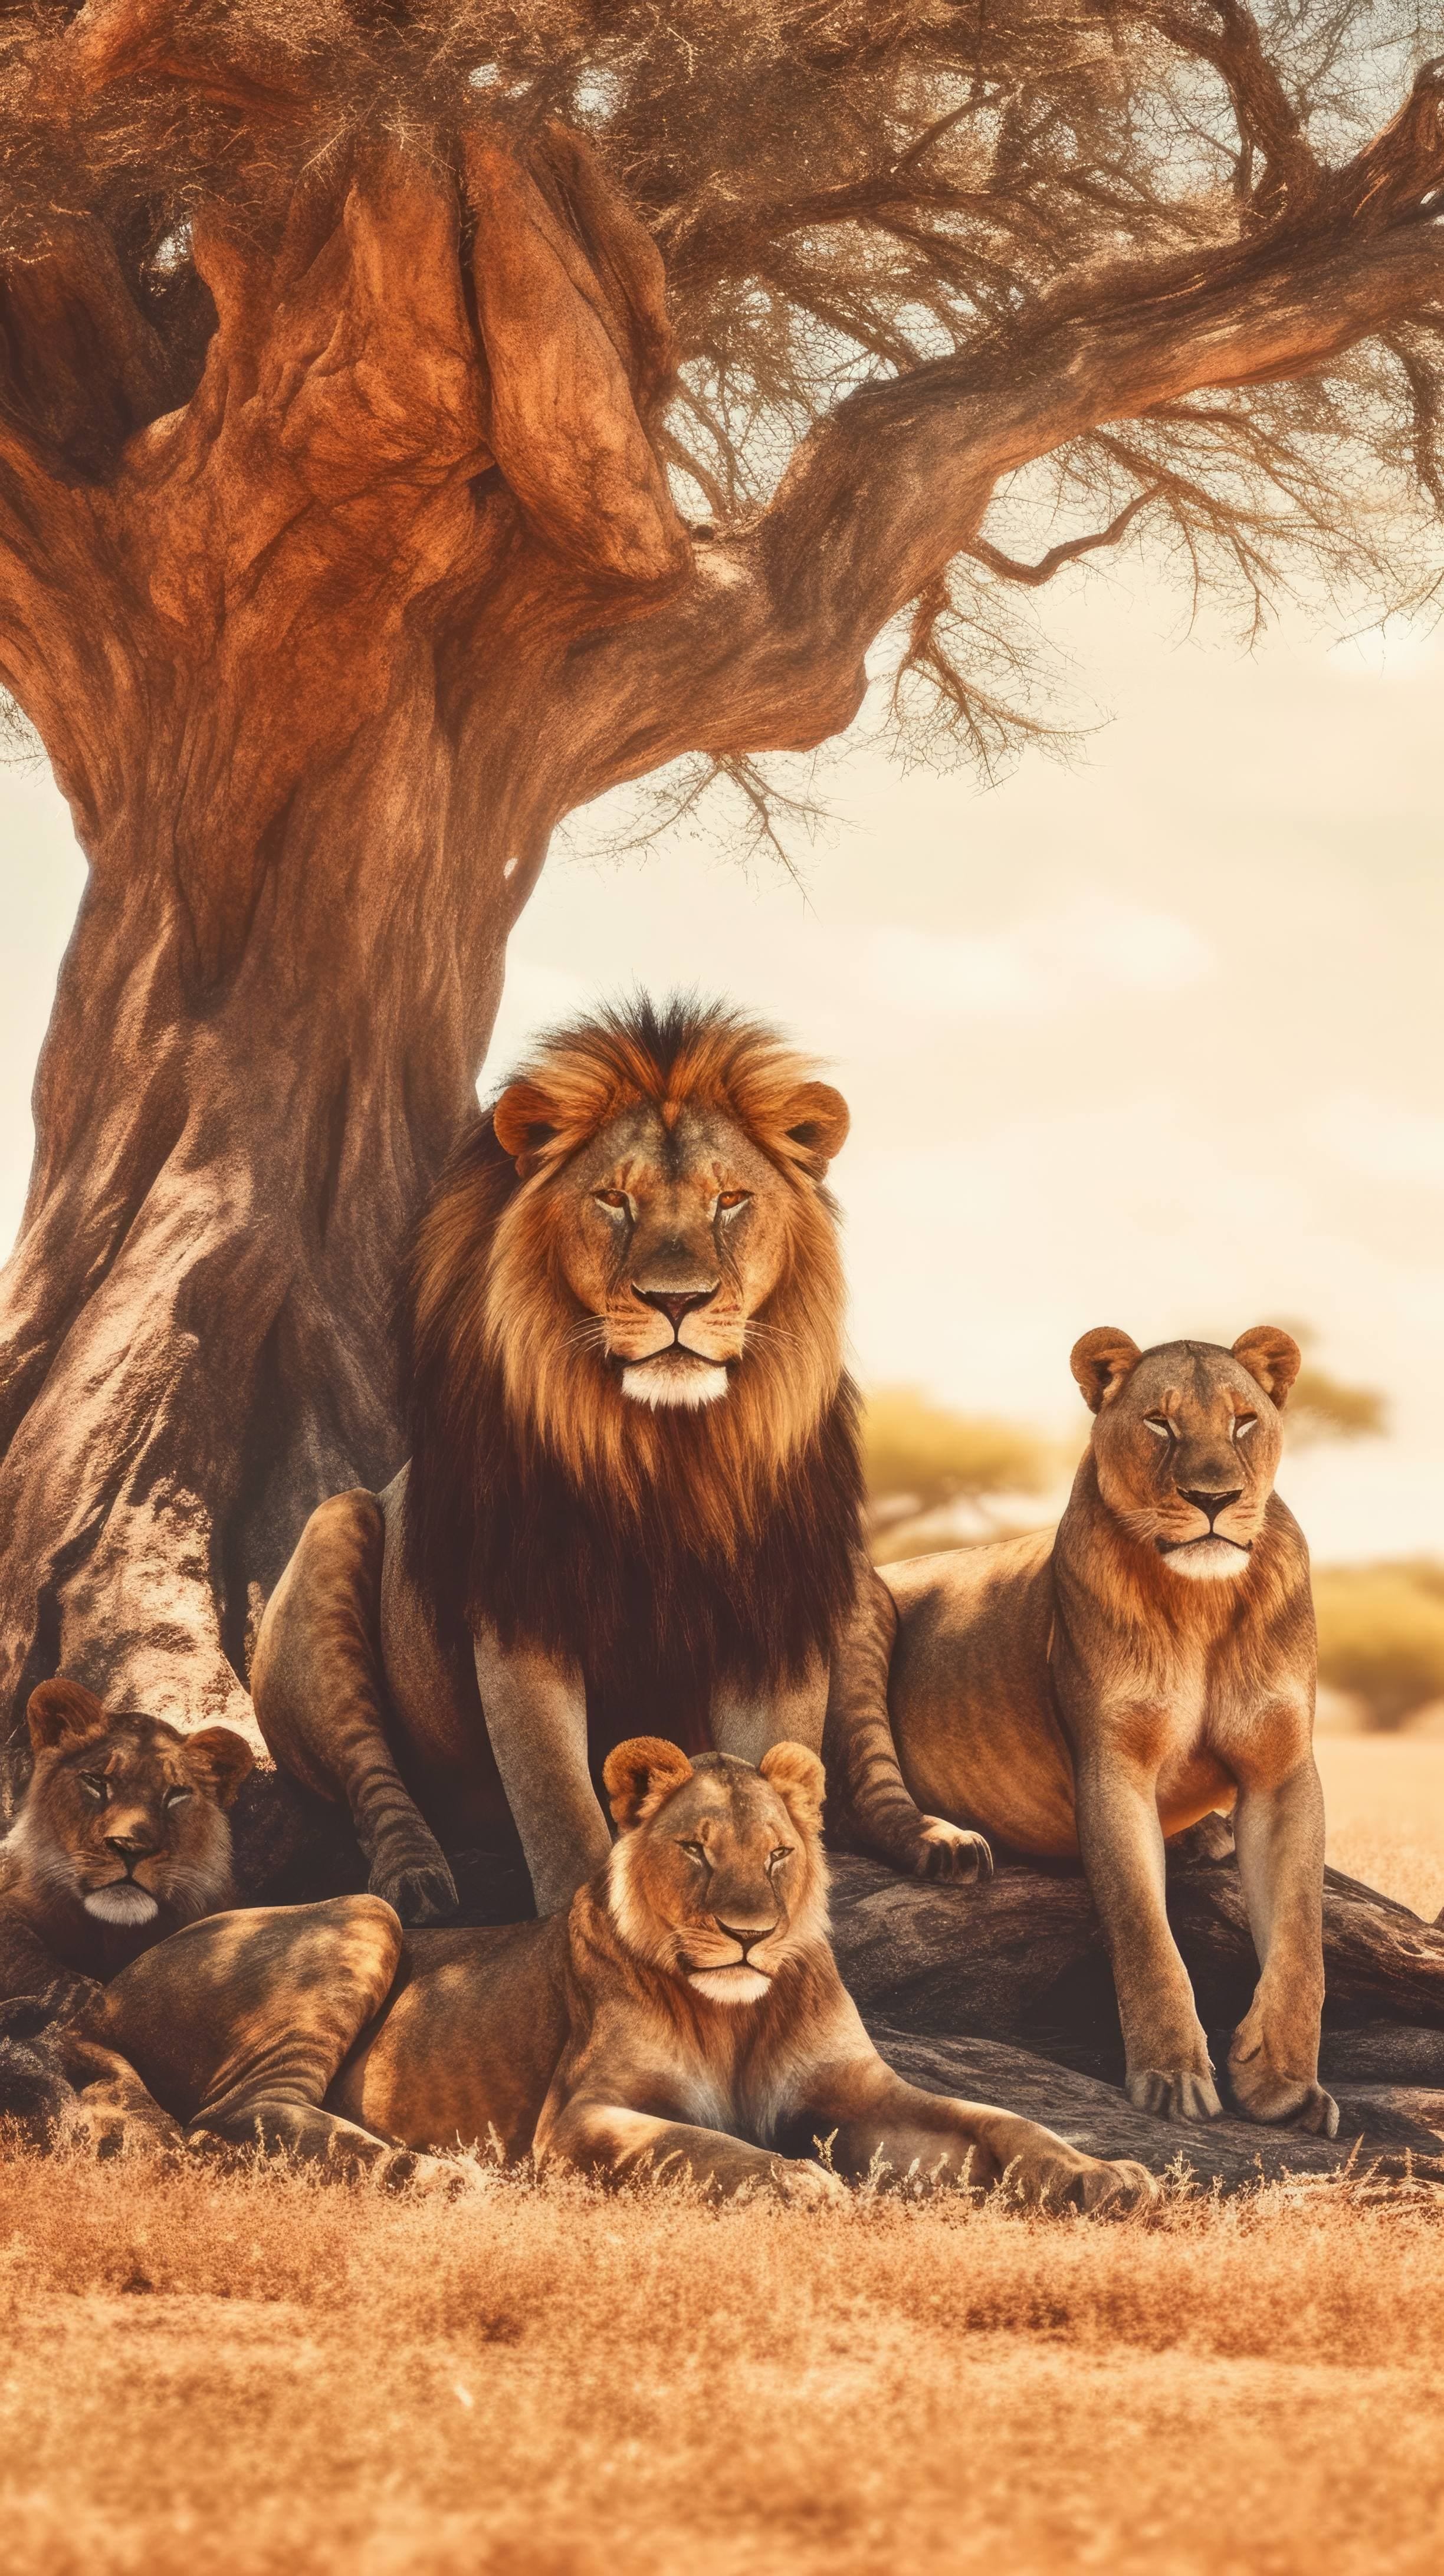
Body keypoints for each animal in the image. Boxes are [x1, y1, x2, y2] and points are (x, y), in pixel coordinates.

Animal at [0, 1678, 254, 2019]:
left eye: (176, 1794)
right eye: (95, 1781)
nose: (130, 1847)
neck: (112, 1934)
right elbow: (25, 1958)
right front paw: (73, 1994)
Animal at [66, 1738, 1155, 2211]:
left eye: (777, 1856)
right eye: (698, 1850)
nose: (749, 1935)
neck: (737, 2015)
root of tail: (106, 1987)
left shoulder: (860, 2091)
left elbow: (999, 2119)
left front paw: (1102, 2174)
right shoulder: (579, 2119)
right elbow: (705, 2145)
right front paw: (801, 2181)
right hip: (368, 1915)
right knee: (240, 2114)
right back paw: (434, 2169)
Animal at [252, 997, 865, 1923]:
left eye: (731, 1200)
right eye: (613, 1198)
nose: (678, 1301)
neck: (674, 1451)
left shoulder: (777, 1618)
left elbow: (775, 1774)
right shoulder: (523, 1615)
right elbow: (556, 1799)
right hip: (336, 1528)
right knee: (370, 1777)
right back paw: (419, 1882)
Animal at [824, 1327, 1336, 2136]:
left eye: (1243, 1421)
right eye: (1159, 1423)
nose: (1214, 1499)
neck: (1201, 1602)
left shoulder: (1281, 1772)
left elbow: (1301, 1943)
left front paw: (1285, 2083)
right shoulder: (1112, 1766)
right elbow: (1144, 1934)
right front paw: (1171, 2077)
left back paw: (1204, 1837)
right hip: (861, 1604)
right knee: (856, 1801)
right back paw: (948, 1846)